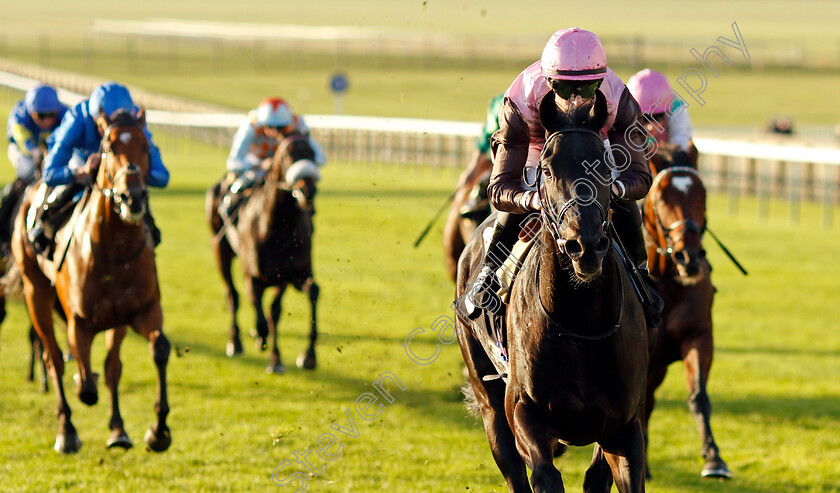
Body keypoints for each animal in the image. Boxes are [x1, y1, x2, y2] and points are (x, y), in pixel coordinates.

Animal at [12, 112, 172, 454]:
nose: (133, 196)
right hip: (35, 292)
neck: (114, 250)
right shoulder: (80, 321)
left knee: (109, 367)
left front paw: (156, 431)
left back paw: (117, 429)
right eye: (109, 146)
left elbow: (155, 351)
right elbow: (84, 385)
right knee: (53, 358)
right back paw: (67, 431)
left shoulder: (140, 311)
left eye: (146, 146)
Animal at [205, 133, 320, 370]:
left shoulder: (289, 274)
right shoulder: (253, 275)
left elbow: (278, 309)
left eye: (312, 153)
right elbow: (260, 310)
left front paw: (304, 356)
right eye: (288, 154)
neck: (278, 226)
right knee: (232, 295)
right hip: (220, 249)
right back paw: (235, 343)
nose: (308, 190)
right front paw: (260, 337)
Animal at [460, 93, 648, 492]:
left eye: (605, 166)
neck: (582, 327)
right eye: (546, 170)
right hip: (487, 395)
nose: (585, 245)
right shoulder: (524, 414)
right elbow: (544, 475)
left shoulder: (626, 428)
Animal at [640, 150, 732, 476]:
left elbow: (698, 395)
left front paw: (714, 458)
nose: (688, 255)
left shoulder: (698, 336)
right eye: (661, 197)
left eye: (703, 194)